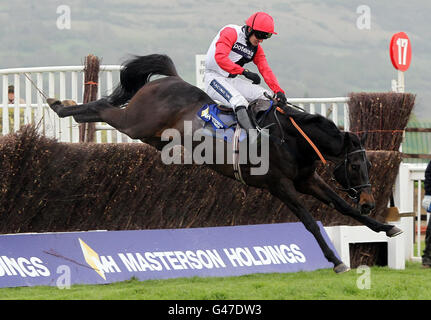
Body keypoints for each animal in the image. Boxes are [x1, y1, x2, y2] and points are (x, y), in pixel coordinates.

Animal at [46, 53, 402, 272]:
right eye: (354, 166)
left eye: (369, 166)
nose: (369, 201)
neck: (291, 139)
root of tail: (169, 80)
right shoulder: (280, 185)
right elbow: (310, 221)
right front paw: (336, 260)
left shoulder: (306, 180)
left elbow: (342, 206)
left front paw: (384, 226)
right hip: (135, 124)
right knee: (103, 110)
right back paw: (59, 105)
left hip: (152, 136)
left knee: (106, 110)